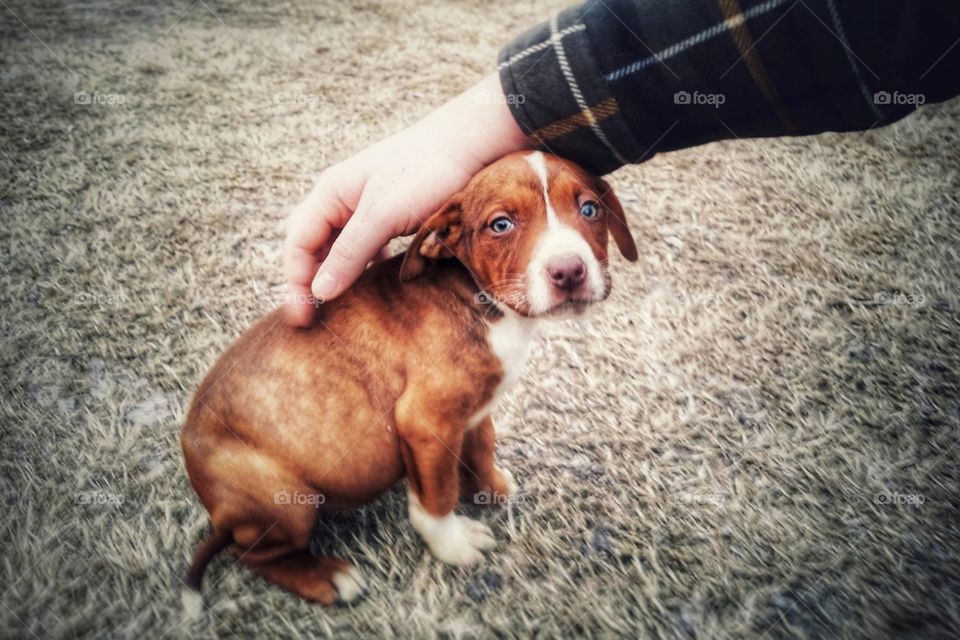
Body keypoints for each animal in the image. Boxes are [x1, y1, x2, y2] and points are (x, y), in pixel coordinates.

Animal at [180, 150, 636, 604]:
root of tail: (218, 513)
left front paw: (489, 488)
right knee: (253, 554)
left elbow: (480, 449)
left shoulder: (474, 412)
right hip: (285, 501)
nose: (569, 271)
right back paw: (325, 577)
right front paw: (452, 543)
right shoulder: (425, 422)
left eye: (589, 209)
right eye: (501, 224)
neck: (478, 299)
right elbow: (437, 496)